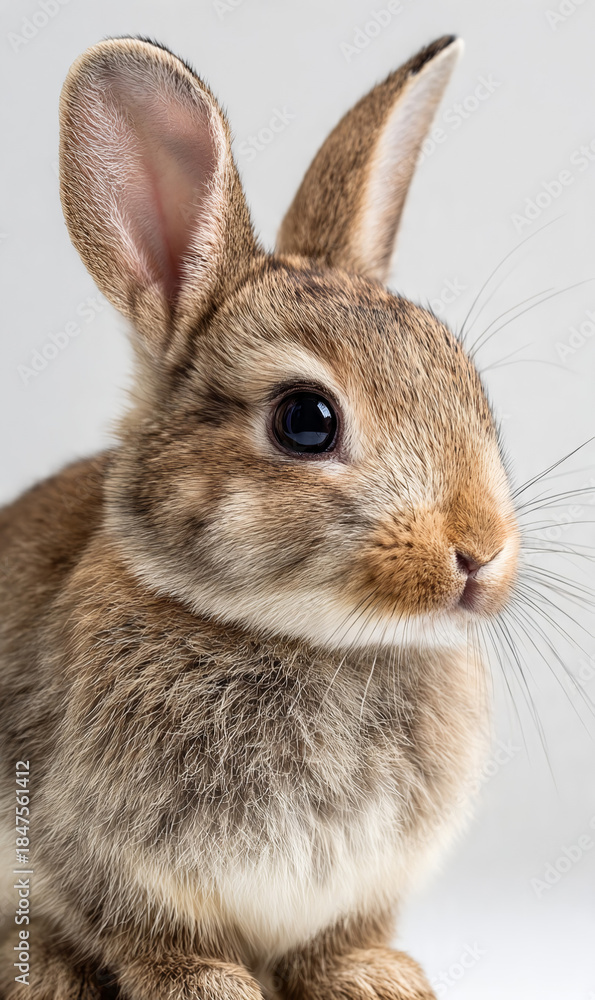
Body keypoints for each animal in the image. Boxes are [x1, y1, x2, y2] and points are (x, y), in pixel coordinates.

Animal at [0, 33, 521, 1000]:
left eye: (467, 384)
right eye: (305, 421)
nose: (480, 552)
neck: (312, 638)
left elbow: (337, 939)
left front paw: (377, 977)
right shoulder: (96, 857)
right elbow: (149, 937)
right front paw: (211, 987)